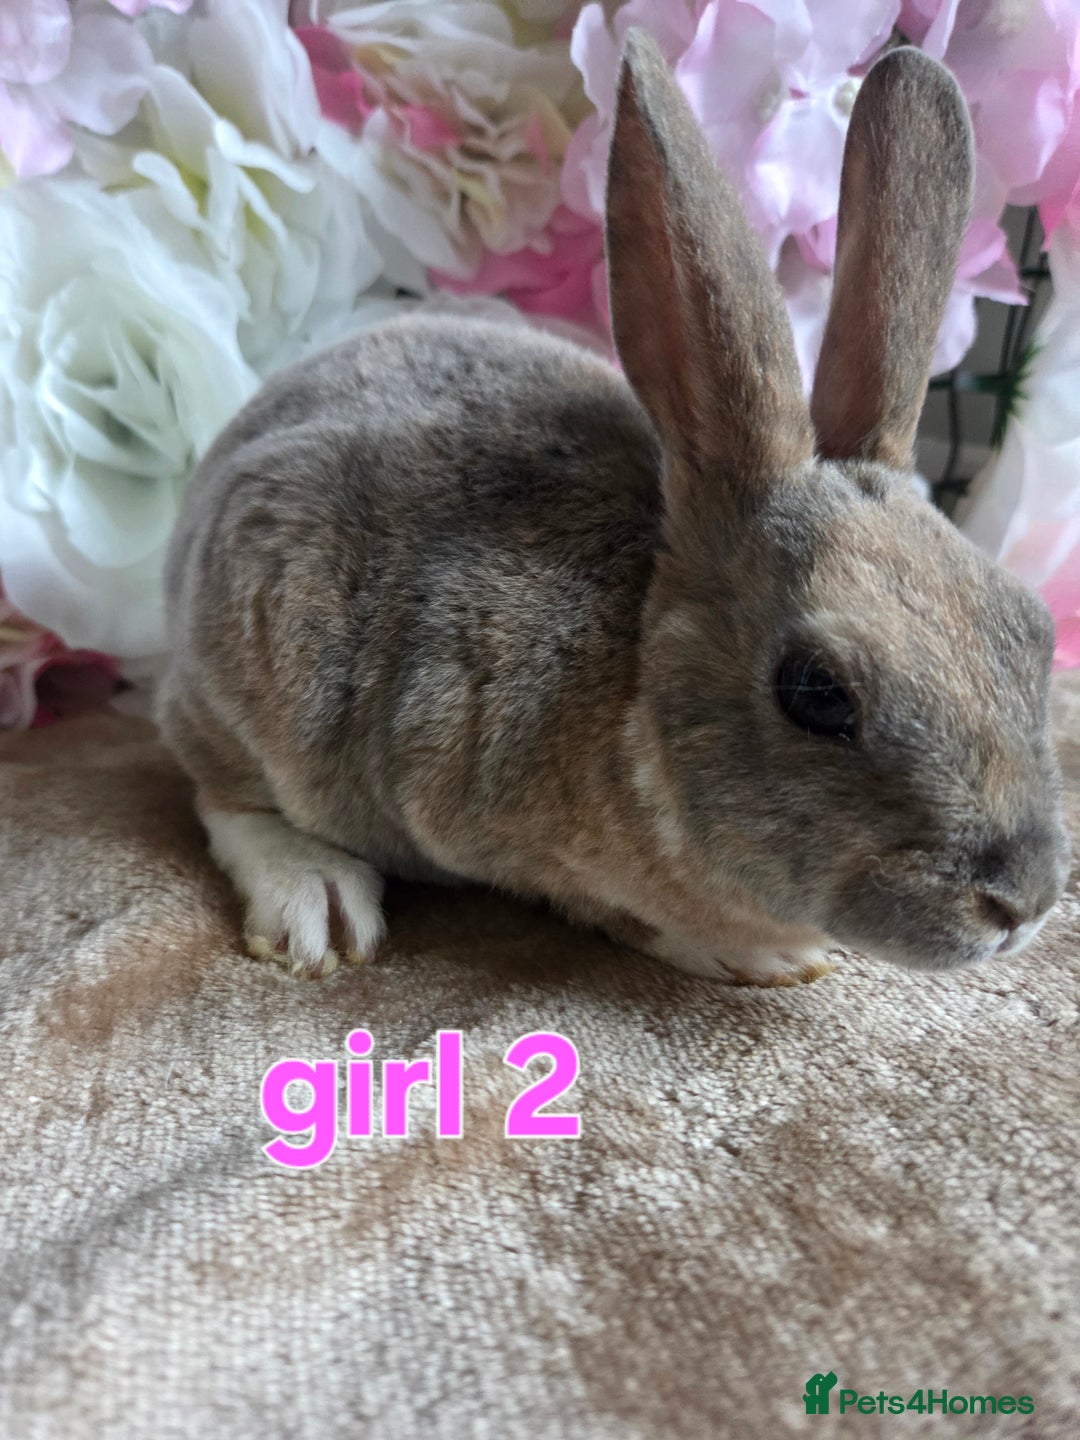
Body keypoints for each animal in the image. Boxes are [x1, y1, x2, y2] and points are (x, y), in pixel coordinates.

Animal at [158, 32, 1071, 985]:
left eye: (1033, 630)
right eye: (817, 693)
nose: (1023, 902)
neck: (638, 680)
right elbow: (626, 912)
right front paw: (766, 955)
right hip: (252, 657)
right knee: (224, 792)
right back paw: (318, 906)